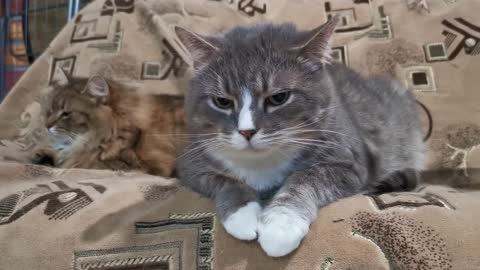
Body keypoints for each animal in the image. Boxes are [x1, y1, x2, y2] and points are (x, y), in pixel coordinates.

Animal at [33, 69, 184, 176]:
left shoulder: (142, 167)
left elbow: (77, 162)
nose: (47, 126)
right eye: (50, 110)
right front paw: (42, 154)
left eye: (66, 113)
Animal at [174, 16, 422, 258]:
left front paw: (280, 226)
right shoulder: (191, 163)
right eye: (222, 101)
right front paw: (242, 215)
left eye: (279, 97)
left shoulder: (349, 163)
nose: (246, 131)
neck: (261, 163)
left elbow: (305, 180)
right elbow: (224, 180)